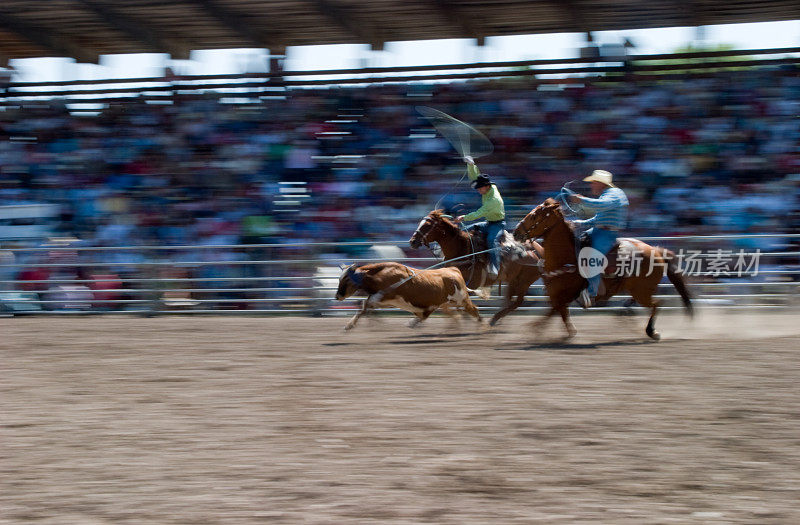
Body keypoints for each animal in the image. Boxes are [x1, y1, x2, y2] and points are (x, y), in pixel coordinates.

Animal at [412, 210, 544, 326]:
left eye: (427, 225)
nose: (412, 241)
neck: (462, 249)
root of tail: (535, 250)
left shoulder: (467, 285)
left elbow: (449, 305)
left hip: (523, 282)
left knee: (517, 302)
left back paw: (494, 320)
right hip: (513, 281)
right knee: (508, 301)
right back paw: (497, 320)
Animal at [510, 198, 692, 340]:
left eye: (534, 216)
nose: (516, 232)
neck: (565, 258)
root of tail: (655, 250)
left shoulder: (564, 296)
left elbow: (552, 313)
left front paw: (534, 330)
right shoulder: (556, 297)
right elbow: (561, 314)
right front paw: (568, 333)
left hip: (642, 291)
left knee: (658, 303)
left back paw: (651, 331)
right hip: (638, 289)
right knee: (644, 302)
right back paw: (626, 312)